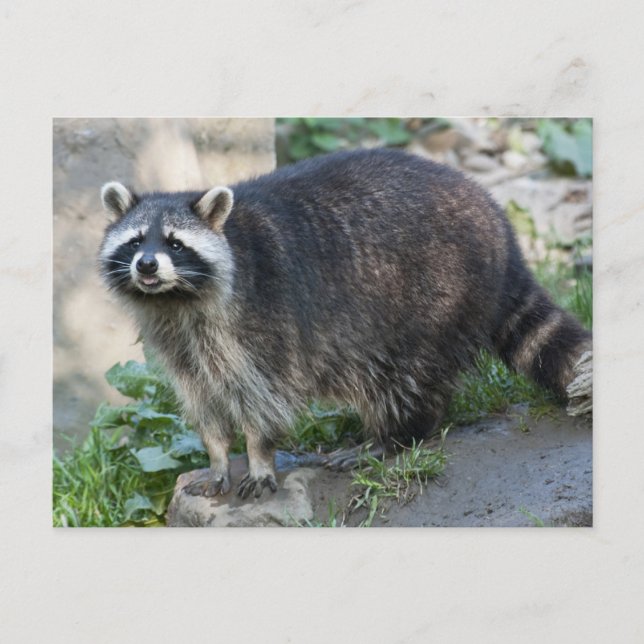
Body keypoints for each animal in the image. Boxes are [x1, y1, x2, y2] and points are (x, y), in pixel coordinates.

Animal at [99, 148, 591, 499]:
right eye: (136, 240)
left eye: (175, 244)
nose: (146, 266)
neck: (176, 299)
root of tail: (502, 235)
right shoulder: (182, 344)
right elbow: (204, 401)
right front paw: (218, 456)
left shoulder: (264, 324)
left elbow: (265, 398)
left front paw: (259, 455)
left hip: (431, 295)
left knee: (401, 379)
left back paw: (394, 436)